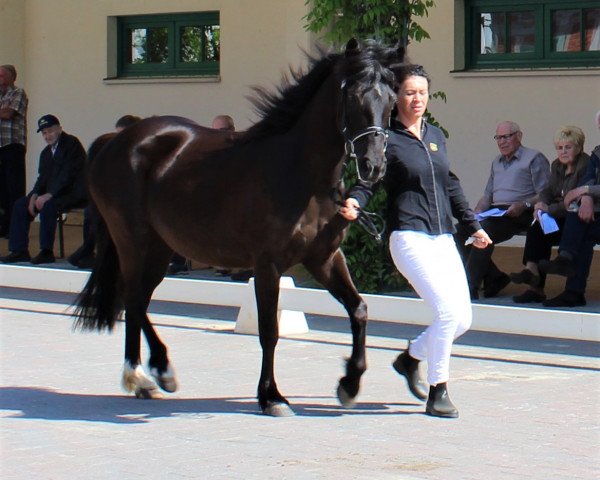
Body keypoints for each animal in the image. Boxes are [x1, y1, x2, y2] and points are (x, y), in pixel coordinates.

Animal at [74, 38, 404, 416]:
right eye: (352, 96)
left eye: (391, 100)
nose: (374, 165)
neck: (299, 173)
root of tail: (115, 140)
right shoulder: (267, 264)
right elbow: (269, 330)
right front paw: (271, 397)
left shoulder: (324, 258)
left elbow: (359, 309)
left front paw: (349, 383)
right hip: (133, 241)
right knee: (131, 297)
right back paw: (138, 376)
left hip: (160, 248)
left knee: (139, 300)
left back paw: (160, 371)